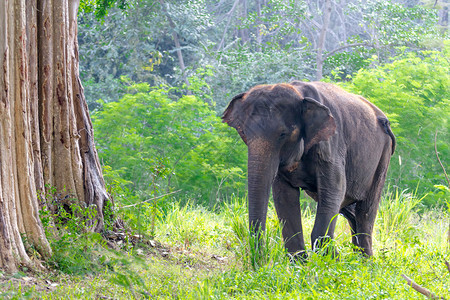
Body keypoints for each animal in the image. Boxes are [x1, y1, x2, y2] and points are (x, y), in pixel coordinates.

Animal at [223, 81, 396, 258]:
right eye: (244, 133)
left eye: (283, 134)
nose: (260, 258)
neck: (299, 93)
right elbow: (284, 195)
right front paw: (302, 262)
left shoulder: (330, 146)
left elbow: (334, 190)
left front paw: (329, 259)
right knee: (349, 210)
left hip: (383, 156)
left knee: (365, 211)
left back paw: (364, 261)